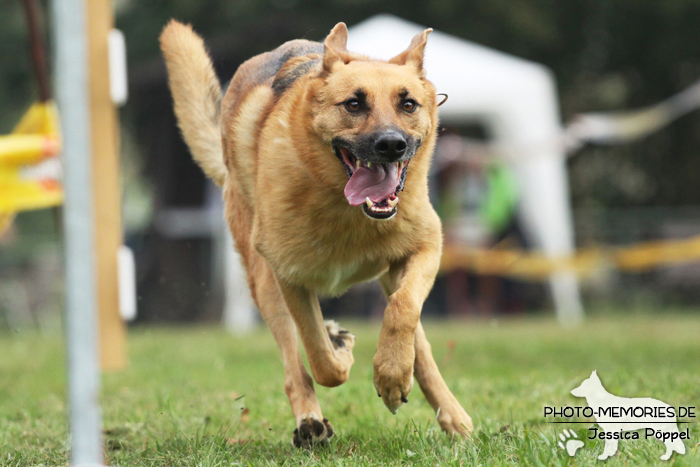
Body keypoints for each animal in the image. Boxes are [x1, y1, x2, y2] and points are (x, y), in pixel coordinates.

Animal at [161, 20, 474, 448]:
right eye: (353, 104)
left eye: (408, 104)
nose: (391, 145)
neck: (345, 210)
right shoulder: (290, 277)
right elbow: (320, 359)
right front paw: (340, 349)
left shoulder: (424, 249)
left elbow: (402, 310)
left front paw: (391, 376)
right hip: (263, 283)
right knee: (295, 365)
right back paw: (311, 420)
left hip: (391, 276)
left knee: (420, 350)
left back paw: (448, 413)